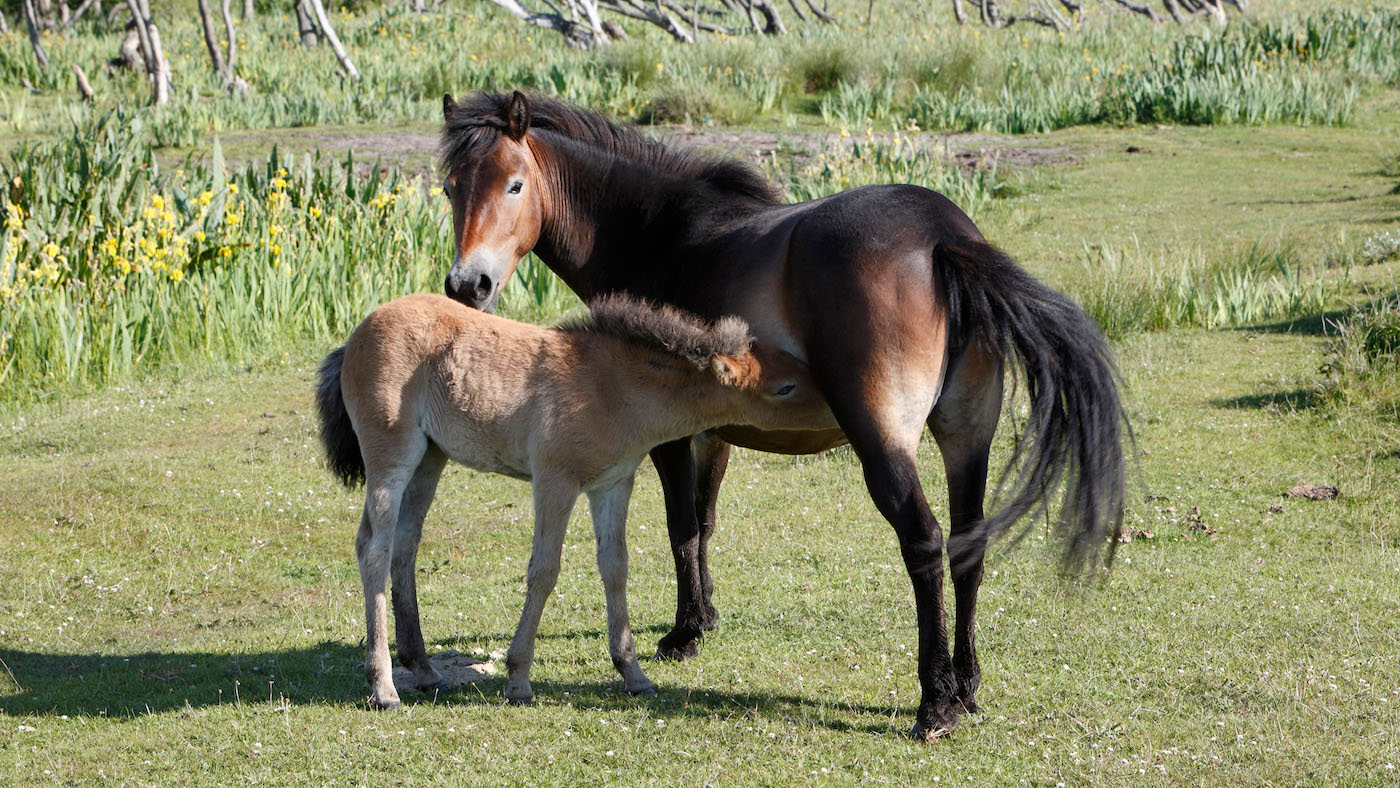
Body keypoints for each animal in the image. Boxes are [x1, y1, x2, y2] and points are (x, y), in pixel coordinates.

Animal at [315, 292, 832, 709]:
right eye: (785, 388)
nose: (834, 404)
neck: (612, 387)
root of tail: (354, 337)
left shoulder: (613, 484)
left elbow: (616, 568)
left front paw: (633, 674)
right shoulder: (555, 479)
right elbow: (544, 570)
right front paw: (518, 679)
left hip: (430, 459)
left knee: (404, 547)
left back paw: (423, 670)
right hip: (392, 456)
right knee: (374, 549)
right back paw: (384, 686)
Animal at [437, 90, 1129, 739]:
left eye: (514, 184)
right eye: (450, 188)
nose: (468, 286)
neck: (662, 239)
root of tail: (945, 237)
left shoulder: (669, 438)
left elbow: (681, 527)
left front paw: (684, 635)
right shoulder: (712, 433)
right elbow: (705, 524)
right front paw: (704, 618)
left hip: (885, 443)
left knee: (925, 541)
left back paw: (936, 702)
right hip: (967, 436)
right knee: (967, 542)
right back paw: (967, 684)